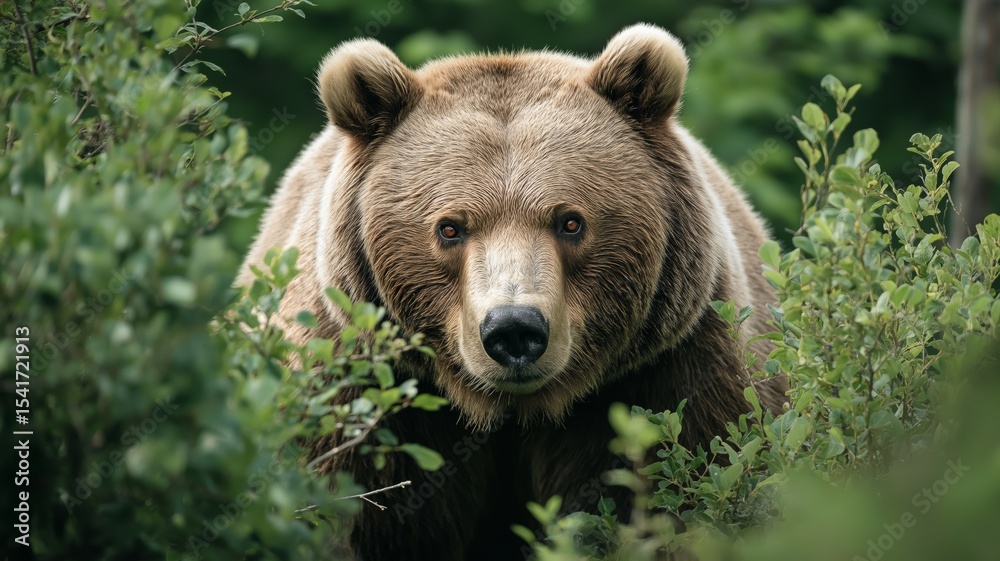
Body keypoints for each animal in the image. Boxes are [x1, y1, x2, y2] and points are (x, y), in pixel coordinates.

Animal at [238, 23, 787, 561]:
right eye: (450, 227)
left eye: (571, 221)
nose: (514, 330)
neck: (513, 412)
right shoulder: (360, 393)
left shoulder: (672, 371)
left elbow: (692, 484)